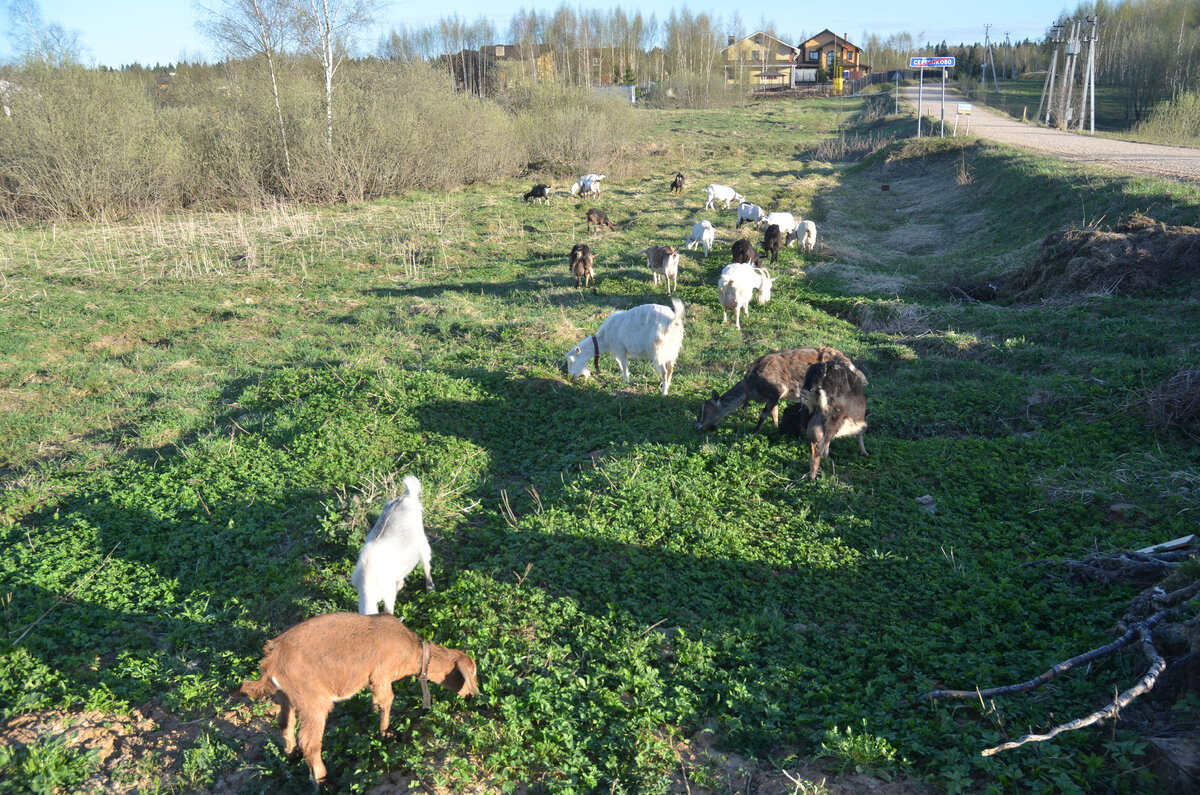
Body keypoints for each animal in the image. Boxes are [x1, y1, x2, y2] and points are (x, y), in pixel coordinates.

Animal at [241, 612, 480, 787]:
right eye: (472, 672)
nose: (471, 695)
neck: (413, 652)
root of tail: (273, 661)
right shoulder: (381, 674)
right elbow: (387, 700)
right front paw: (386, 734)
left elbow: (379, 702)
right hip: (313, 700)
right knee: (310, 743)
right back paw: (322, 781)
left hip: (287, 697)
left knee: (285, 723)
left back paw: (291, 755)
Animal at [350, 475, 432, 619]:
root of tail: (407, 497)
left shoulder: (388, 590)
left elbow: (388, 610)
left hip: (421, 540)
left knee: (426, 563)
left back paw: (430, 589)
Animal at [696, 343, 864, 432]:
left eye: (705, 408)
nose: (698, 425)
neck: (754, 386)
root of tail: (852, 366)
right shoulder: (774, 396)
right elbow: (774, 413)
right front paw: (775, 427)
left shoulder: (778, 389)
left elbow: (764, 414)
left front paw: (754, 431)